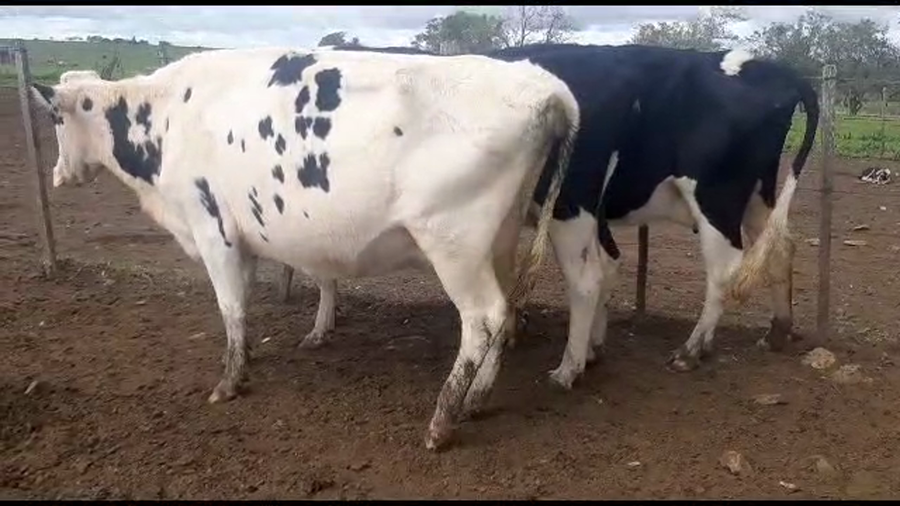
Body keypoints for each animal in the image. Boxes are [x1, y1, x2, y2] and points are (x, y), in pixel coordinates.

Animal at [30, 46, 581, 450]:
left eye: (55, 119)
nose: (58, 175)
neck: (165, 117)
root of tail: (542, 83)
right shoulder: (246, 239)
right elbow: (252, 301)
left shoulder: (213, 228)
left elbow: (230, 306)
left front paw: (230, 381)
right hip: (499, 239)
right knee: (503, 313)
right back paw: (476, 400)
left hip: (453, 240)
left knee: (484, 317)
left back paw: (443, 420)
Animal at [291, 43, 818, 390]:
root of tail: (765, 66)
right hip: (756, 194)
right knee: (780, 248)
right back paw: (778, 329)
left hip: (701, 196)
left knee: (719, 271)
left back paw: (683, 351)